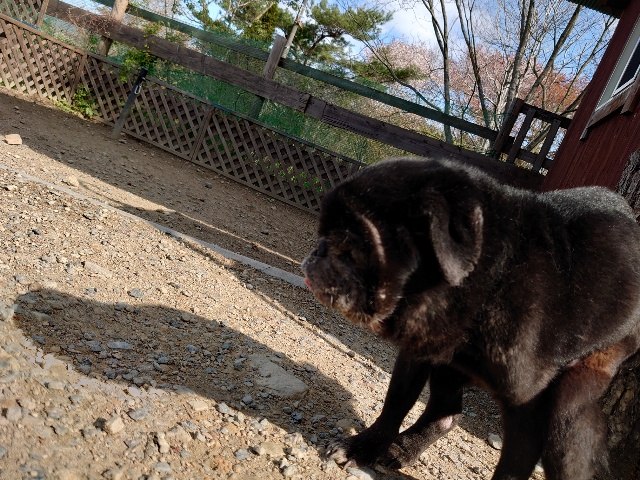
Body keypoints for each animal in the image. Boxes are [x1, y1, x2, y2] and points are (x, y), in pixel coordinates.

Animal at [301, 157, 640, 480]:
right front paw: (362, 447)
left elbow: (512, 468)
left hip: (570, 405)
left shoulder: (526, 409)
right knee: (447, 411)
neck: (494, 278)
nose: (317, 251)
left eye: (352, 249)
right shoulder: (418, 353)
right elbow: (395, 404)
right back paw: (404, 449)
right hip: (448, 368)